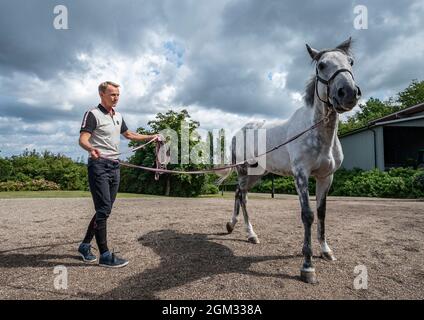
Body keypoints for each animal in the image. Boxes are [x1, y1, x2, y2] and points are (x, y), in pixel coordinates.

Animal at [219, 37, 362, 282]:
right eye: (321, 65)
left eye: (350, 62)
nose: (349, 93)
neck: (317, 132)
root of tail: (240, 131)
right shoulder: (301, 175)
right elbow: (307, 215)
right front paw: (307, 266)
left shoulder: (326, 178)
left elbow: (322, 213)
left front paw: (326, 251)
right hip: (243, 170)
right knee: (242, 196)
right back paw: (248, 232)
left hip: (256, 174)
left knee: (239, 193)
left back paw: (236, 227)